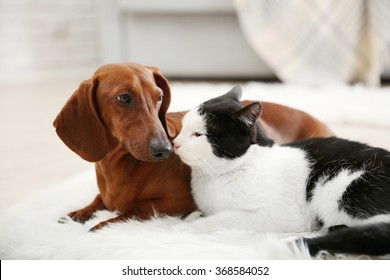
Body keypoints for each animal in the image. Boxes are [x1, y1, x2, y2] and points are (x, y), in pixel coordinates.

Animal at [52, 62, 332, 231]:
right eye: (123, 98)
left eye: (159, 97)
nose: (165, 149)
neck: (119, 165)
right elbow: (98, 200)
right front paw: (80, 212)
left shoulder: (175, 203)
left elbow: (134, 208)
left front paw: (101, 225)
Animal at [173, 85, 390, 256]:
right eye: (182, 128)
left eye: (198, 134)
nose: (175, 143)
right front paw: (193, 216)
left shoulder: (278, 215)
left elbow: (220, 219)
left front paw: (184, 225)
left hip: (341, 186)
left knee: (374, 232)